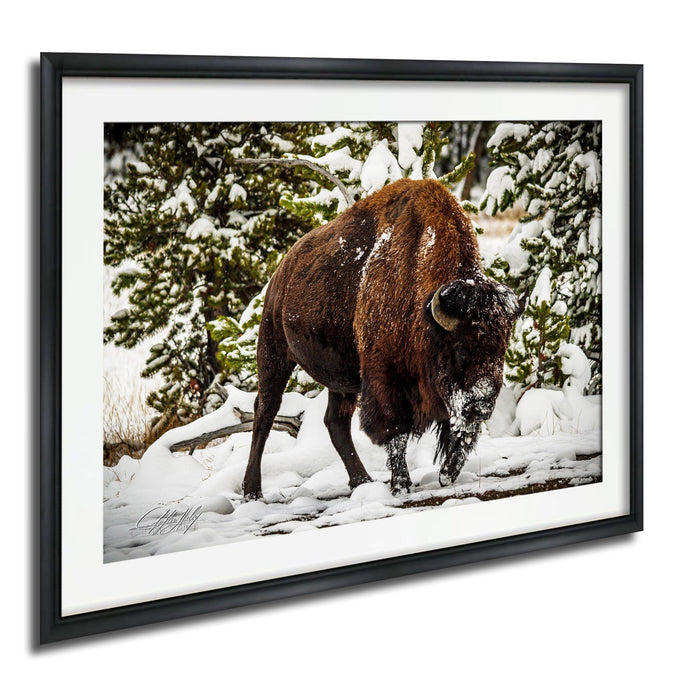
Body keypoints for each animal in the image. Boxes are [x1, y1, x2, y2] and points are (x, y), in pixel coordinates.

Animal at [242, 178, 525, 500]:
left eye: (502, 347)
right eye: (461, 348)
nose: (483, 404)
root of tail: (280, 273)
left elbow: (462, 432)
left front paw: (447, 474)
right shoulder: (385, 378)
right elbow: (394, 431)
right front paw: (401, 484)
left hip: (340, 380)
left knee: (335, 422)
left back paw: (362, 481)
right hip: (274, 354)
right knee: (265, 412)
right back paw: (253, 491)